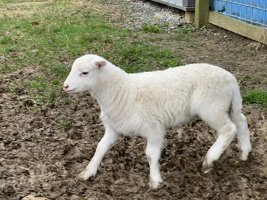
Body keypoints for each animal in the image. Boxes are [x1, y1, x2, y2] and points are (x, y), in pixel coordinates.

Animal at [63, 54, 252, 188]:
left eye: (85, 72)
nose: (65, 86)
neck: (121, 90)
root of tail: (231, 79)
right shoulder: (113, 128)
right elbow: (100, 147)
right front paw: (88, 172)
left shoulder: (153, 127)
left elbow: (150, 154)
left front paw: (155, 180)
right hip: (228, 105)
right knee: (241, 121)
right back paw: (244, 151)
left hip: (212, 107)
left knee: (229, 129)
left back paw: (210, 158)